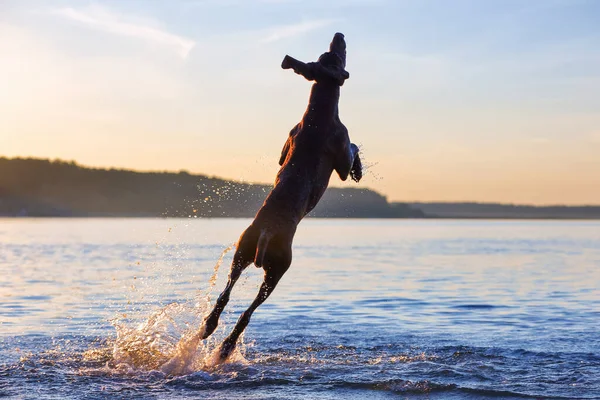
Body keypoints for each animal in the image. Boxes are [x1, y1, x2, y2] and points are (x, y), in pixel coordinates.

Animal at [200, 32, 360, 360]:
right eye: (338, 57)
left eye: (328, 52)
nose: (339, 35)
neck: (318, 111)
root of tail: (266, 232)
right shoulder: (341, 153)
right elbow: (354, 150)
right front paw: (359, 169)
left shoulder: (285, 145)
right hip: (279, 267)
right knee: (247, 312)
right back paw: (226, 346)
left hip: (241, 250)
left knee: (225, 292)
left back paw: (208, 326)